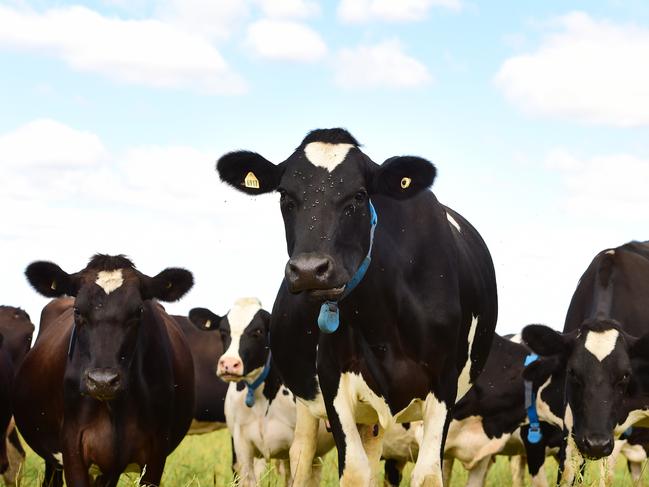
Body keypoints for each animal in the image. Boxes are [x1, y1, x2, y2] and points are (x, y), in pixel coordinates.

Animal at [214, 127, 496, 486]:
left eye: (359, 196)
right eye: (285, 197)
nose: (309, 270)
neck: (384, 321)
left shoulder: (444, 381)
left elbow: (428, 474)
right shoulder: (331, 379)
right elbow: (354, 472)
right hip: (309, 402)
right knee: (302, 456)